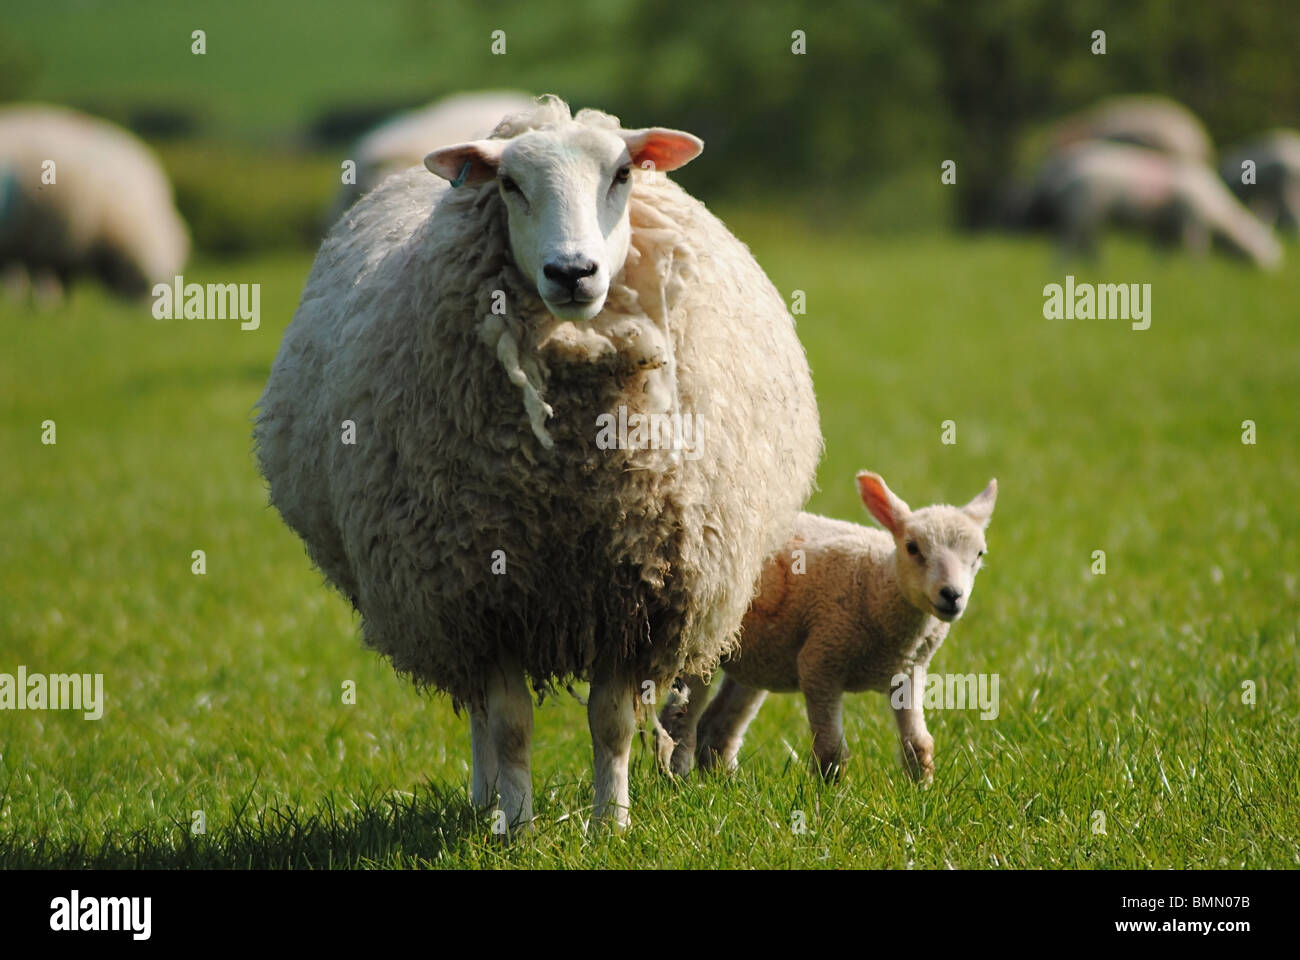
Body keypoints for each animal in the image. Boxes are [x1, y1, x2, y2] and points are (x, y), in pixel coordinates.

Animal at [254, 98, 821, 832]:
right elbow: (510, 726)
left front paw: (611, 824)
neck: (566, 471)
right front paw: (519, 830)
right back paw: (486, 803)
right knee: (476, 713)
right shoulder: (478, 593)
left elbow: (611, 723)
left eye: (621, 174)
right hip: (441, 608)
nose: (572, 272)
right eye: (510, 185)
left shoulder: (633, 590)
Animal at [660, 468, 993, 780]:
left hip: (757, 655)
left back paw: (728, 781)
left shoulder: (911, 670)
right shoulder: (821, 660)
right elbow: (832, 751)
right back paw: (677, 779)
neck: (876, 584)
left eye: (979, 554)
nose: (952, 595)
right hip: (701, 638)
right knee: (677, 720)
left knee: (716, 725)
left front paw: (921, 789)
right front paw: (829, 796)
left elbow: (920, 745)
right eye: (912, 547)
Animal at [1024, 138, 1279, 267]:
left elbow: (1160, 256)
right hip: (1082, 212)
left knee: (1086, 246)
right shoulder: (1191, 221)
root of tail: (1068, 176)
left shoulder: (1163, 229)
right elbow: (1196, 253)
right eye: (1263, 243)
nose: (1275, 270)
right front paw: (1196, 278)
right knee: (1067, 246)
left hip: (1090, 217)